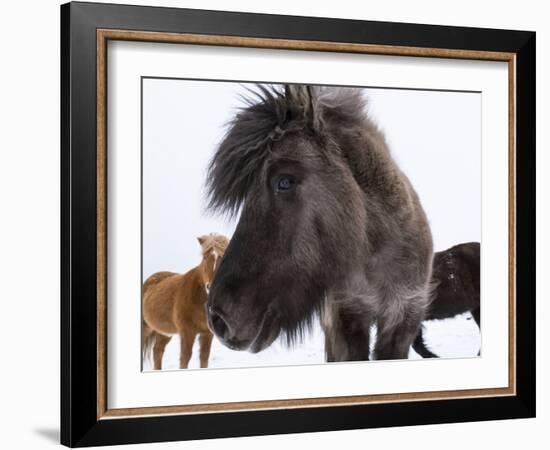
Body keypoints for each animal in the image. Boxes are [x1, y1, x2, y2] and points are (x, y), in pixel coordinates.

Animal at [143, 232, 230, 370]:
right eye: (204, 257)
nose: (210, 287)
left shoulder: (207, 334)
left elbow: (204, 358)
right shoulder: (187, 332)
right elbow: (185, 359)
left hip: (164, 332)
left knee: (157, 351)